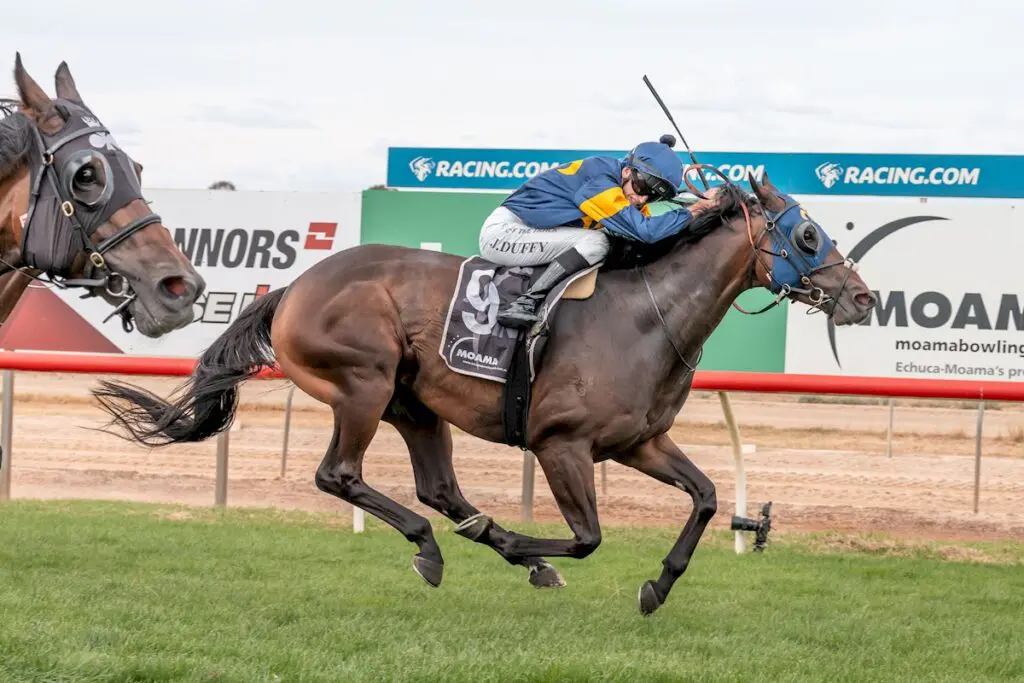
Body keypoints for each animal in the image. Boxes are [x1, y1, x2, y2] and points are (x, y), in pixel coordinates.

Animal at [94, 169, 872, 614]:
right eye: (808, 233)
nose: (863, 298)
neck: (646, 315)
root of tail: (292, 286)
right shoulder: (562, 444)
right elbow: (587, 537)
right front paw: (531, 545)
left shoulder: (641, 441)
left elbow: (707, 497)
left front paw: (656, 586)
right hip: (363, 384)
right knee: (339, 474)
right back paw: (445, 548)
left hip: (412, 402)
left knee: (438, 488)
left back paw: (483, 544)